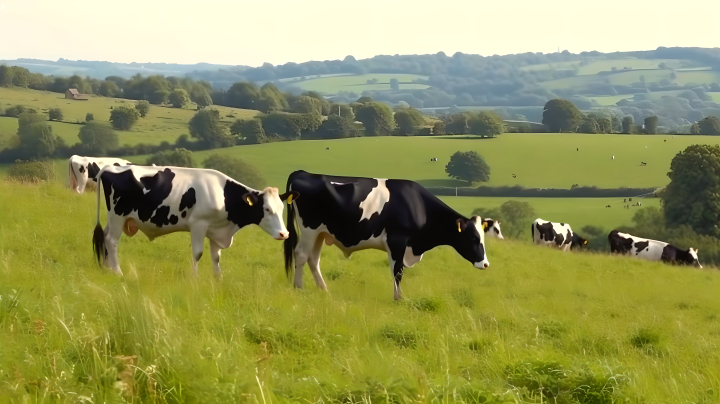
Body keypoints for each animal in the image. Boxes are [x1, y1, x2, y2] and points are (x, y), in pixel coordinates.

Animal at [90, 163, 298, 274]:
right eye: (267, 209)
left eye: (281, 209)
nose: (284, 234)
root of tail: (109, 167)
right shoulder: (199, 225)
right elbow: (198, 253)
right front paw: (194, 278)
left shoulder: (216, 229)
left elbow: (216, 257)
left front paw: (218, 280)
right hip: (118, 216)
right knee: (111, 241)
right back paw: (118, 272)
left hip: (114, 219)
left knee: (105, 238)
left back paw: (107, 268)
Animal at [282, 170, 490, 300]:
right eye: (473, 239)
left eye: (483, 238)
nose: (486, 264)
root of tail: (303, 172)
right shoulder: (397, 240)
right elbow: (397, 271)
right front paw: (399, 298)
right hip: (309, 229)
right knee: (301, 255)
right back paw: (299, 287)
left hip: (320, 233)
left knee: (313, 259)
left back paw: (324, 290)